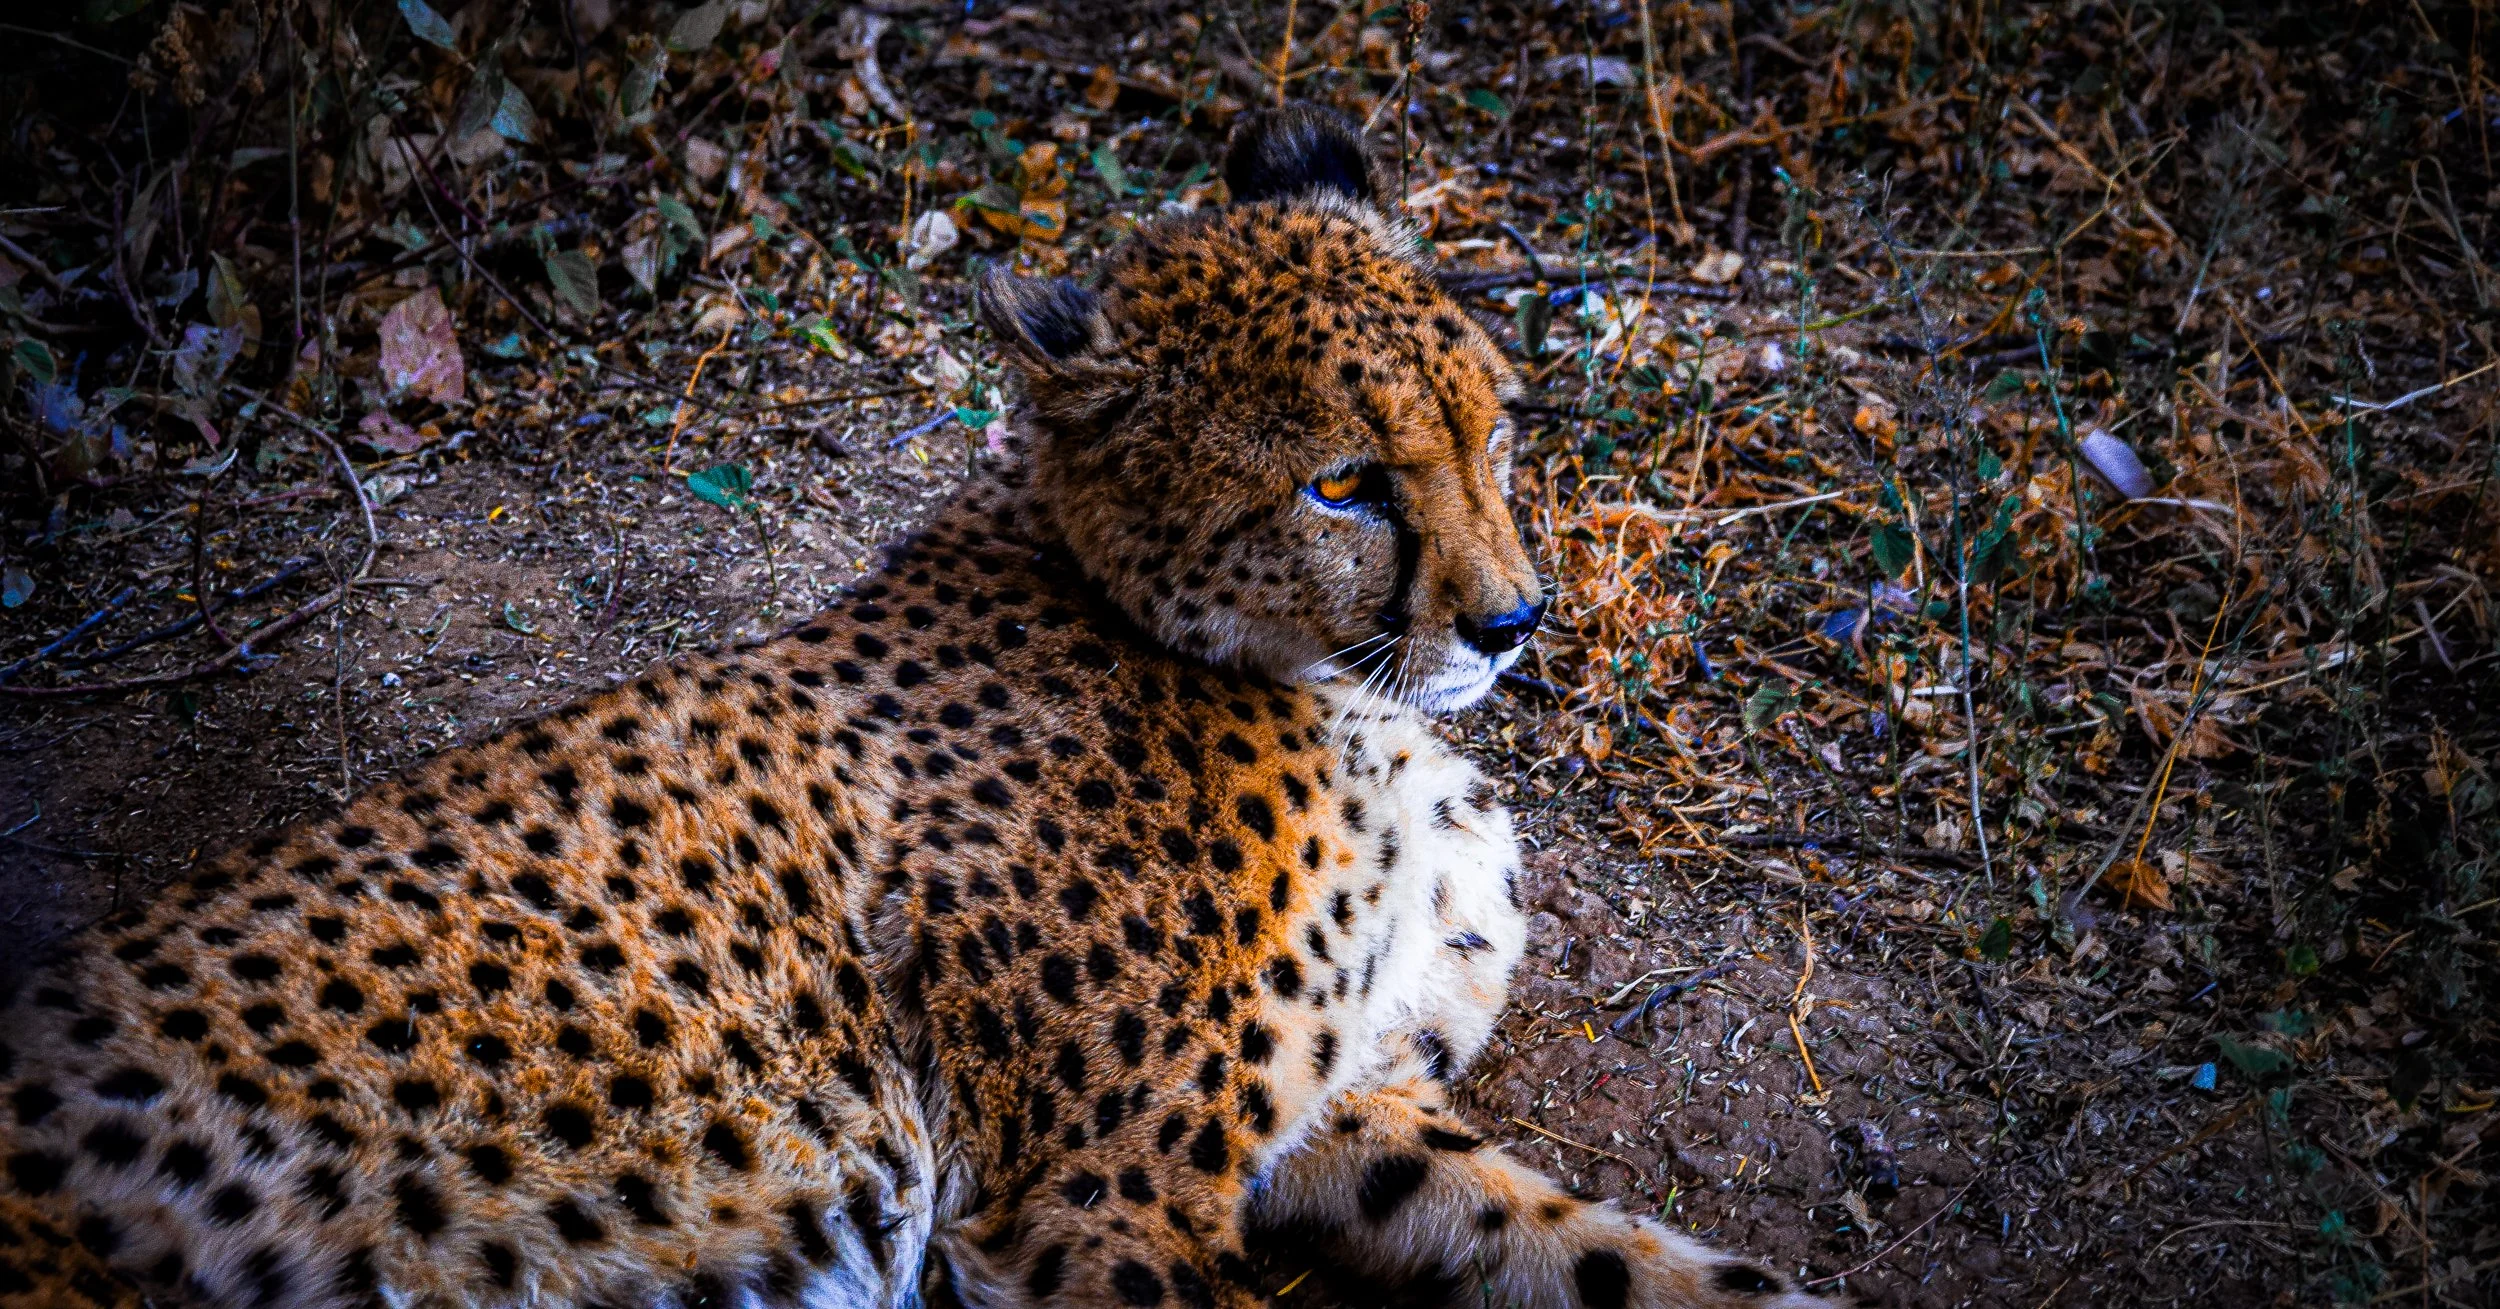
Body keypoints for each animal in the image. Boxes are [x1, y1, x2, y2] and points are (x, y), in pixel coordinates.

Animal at [0, 105, 1826, 1309]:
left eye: (1492, 429)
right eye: (1344, 481)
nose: (1513, 622)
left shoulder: (1345, 1111)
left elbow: (1614, 1250)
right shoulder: (1086, 1202)